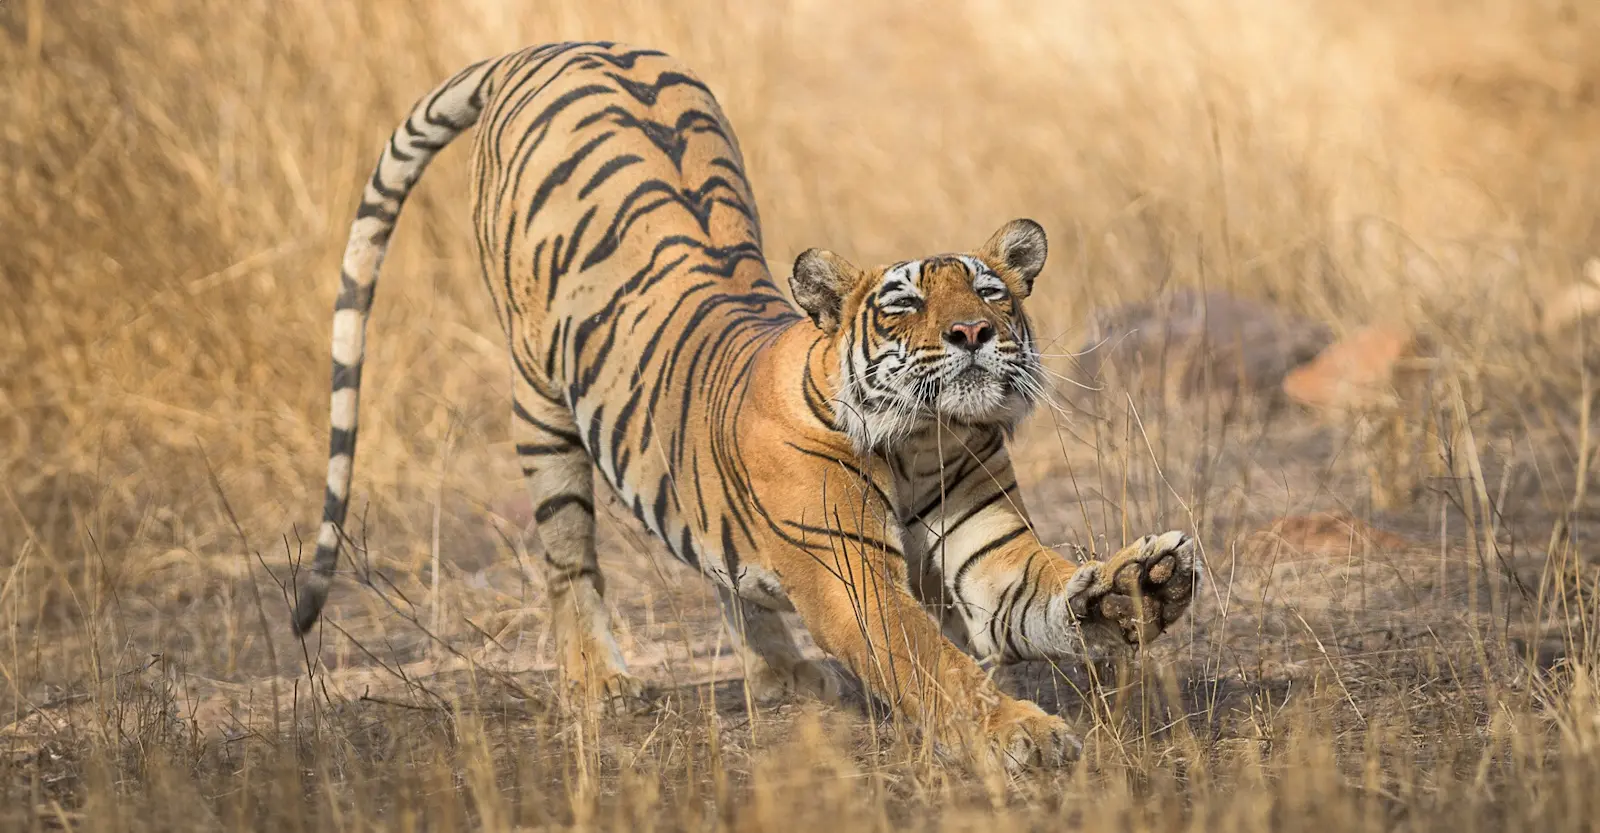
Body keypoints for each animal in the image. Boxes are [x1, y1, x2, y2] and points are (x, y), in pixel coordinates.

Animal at [290, 42, 1201, 772]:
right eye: (905, 303)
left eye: (990, 291)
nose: (974, 331)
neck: (920, 438)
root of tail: (550, 45)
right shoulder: (852, 577)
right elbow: (930, 662)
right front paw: (1020, 731)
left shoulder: (990, 555)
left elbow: (1039, 592)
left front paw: (1137, 586)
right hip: (538, 399)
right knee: (567, 554)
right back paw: (602, 682)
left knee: (719, 566)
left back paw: (787, 675)